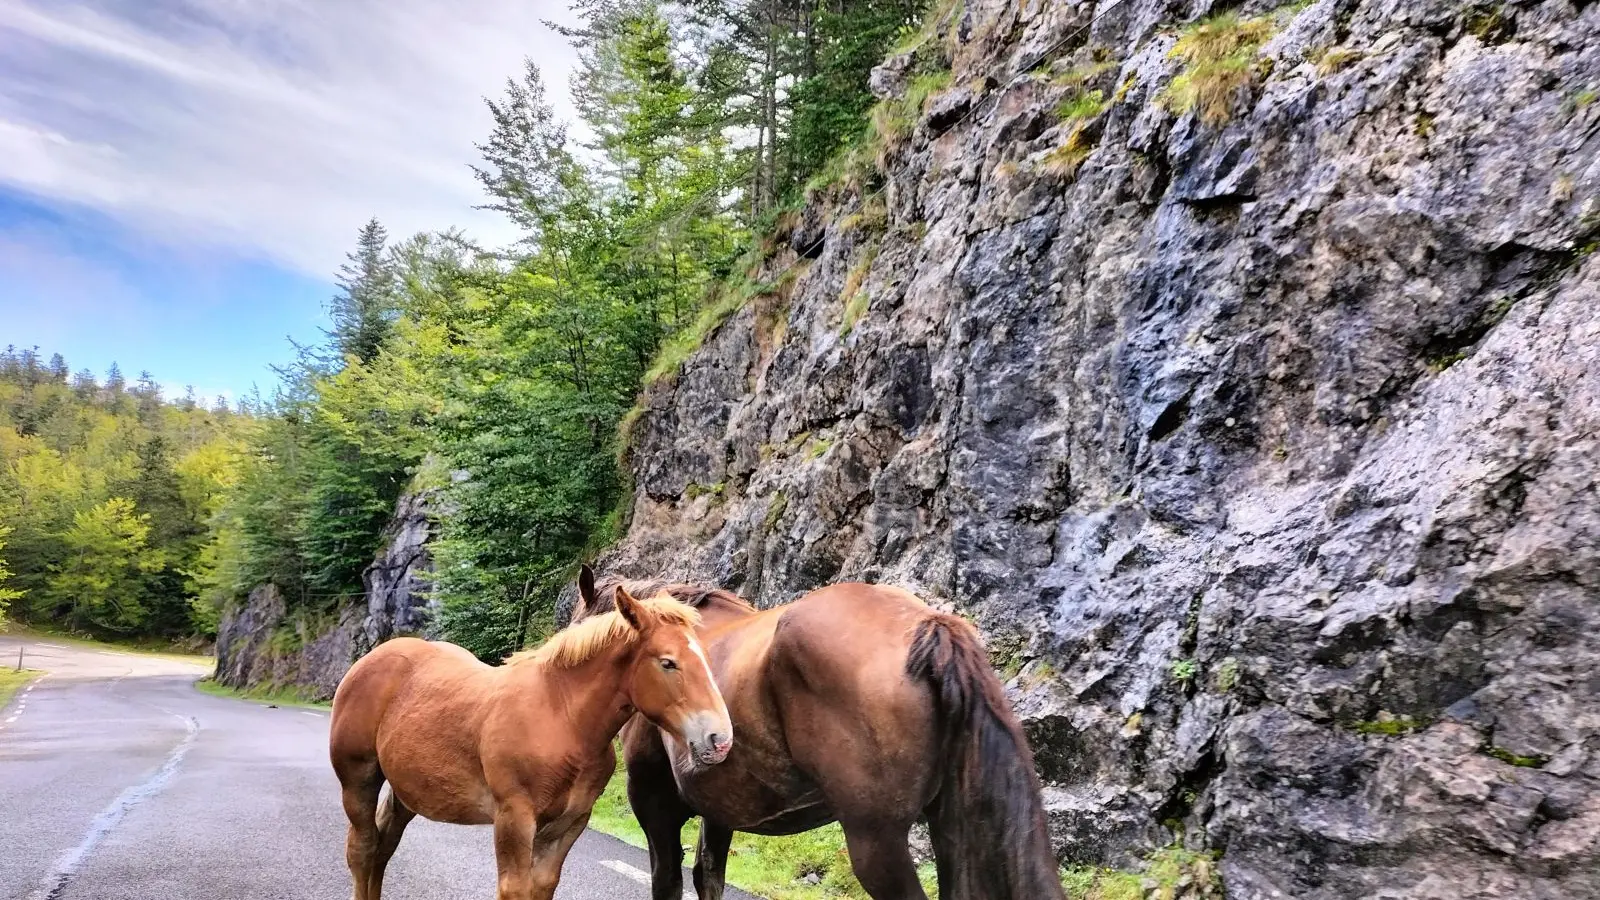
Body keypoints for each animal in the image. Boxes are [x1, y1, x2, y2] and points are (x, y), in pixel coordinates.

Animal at [331, 573, 732, 896]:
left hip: (406, 791)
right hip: (358, 779)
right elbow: (514, 888)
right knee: (363, 849)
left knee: (384, 847)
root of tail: (373, 658)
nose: (720, 739)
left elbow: (542, 886)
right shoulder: (515, 816)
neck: (561, 717)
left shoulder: (569, 823)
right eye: (668, 662)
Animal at [569, 570, 1068, 896]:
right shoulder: (719, 812)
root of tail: (927, 626)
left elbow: (669, 881)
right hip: (948, 828)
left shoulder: (656, 809)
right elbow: (706, 876)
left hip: (876, 840)